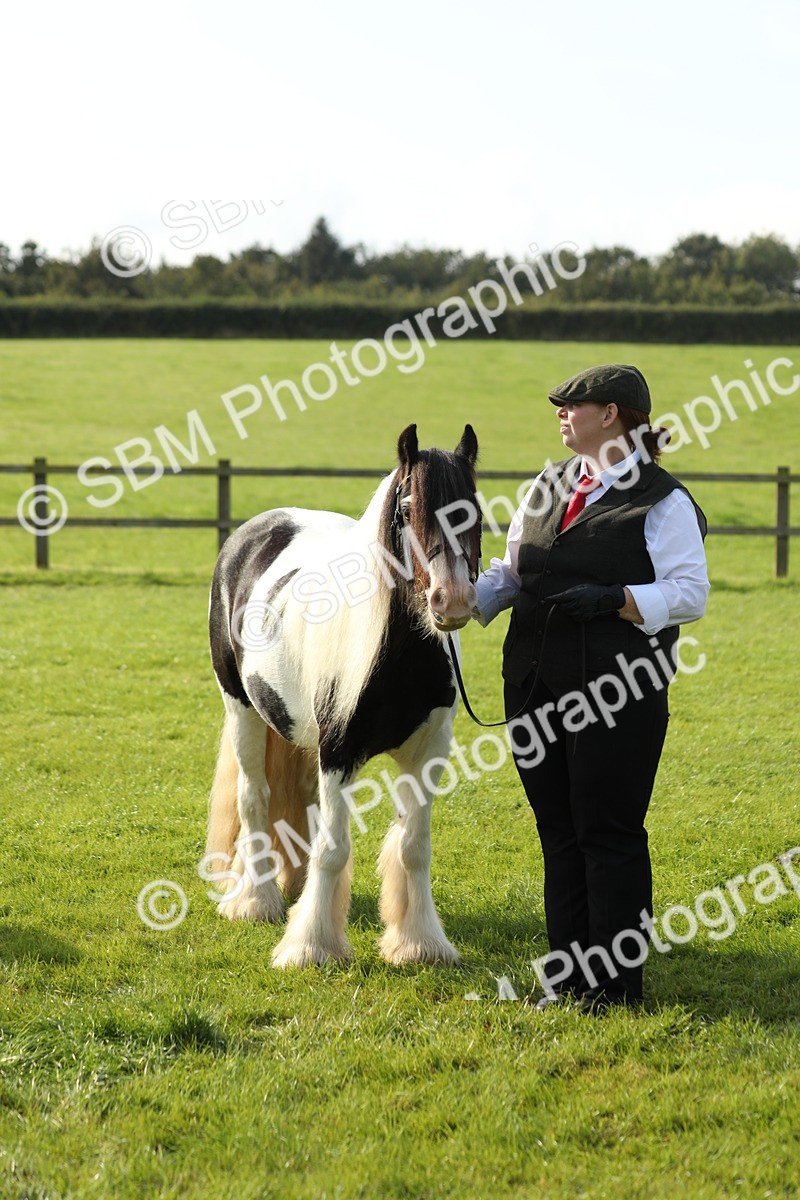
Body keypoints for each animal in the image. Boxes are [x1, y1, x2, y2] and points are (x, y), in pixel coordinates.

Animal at [204, 423, 480, 968]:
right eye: (407, 509)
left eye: (473, 510)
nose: (453, 601)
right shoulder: (338, 752)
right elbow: (333, 848)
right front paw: (311, 947)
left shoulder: (429, 754)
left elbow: (414, 847)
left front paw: (419, 944)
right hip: (242, 710)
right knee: (254, 799)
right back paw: (256, 902)